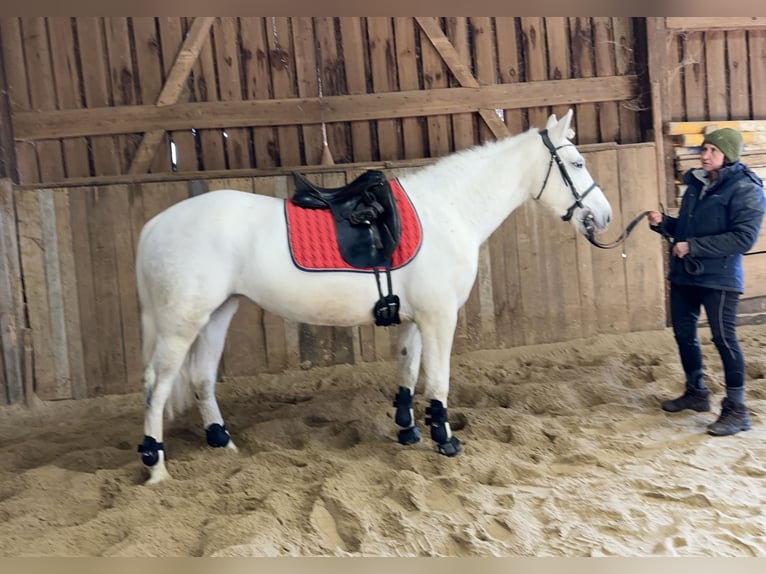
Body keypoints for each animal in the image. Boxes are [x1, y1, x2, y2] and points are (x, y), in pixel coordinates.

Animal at [135, 109, 612, 484]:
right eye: (577, 162)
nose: (604, 216)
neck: (448, 211)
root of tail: (154, 225)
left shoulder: (417, 319)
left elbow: (408, 371)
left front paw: (409, 431)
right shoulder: (440, 317)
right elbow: (438, 380)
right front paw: (446, 441)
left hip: (218, 313)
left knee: (201, 378)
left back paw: (222, 444)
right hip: (181, 324)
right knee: (158, 385)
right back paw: (156, 465)